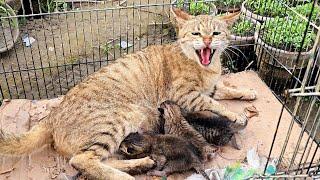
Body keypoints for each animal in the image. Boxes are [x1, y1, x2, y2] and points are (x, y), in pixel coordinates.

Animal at [0, 8, 256, 180]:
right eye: (195, 33)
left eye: (216, 32)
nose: (207, 40)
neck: (206, 67)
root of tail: (51, 117)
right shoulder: (185, 95)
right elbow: (213, 102)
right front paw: (235, 115)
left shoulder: (210, 87)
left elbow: (224, 90)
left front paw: (247, 91)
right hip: (113, 121)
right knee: (82, 160)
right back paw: (127, 175)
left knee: (104, 158)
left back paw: (140, 164)